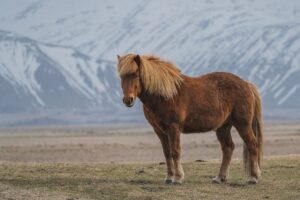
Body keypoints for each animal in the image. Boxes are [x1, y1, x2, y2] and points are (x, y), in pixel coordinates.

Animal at [117, 53, 262, 184]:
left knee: (252, 145)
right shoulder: (159, 131)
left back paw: (253, 177)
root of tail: (247, 84)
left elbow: (175, 152)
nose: (128, 100)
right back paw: (220, 178)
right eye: (121, 76)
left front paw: (178, 178)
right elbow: (167, 153)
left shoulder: (173, 128)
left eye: (135, 74)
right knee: (228, 148)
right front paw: (169, 177)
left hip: (243, 125)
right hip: (223, 127)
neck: (165, 94)